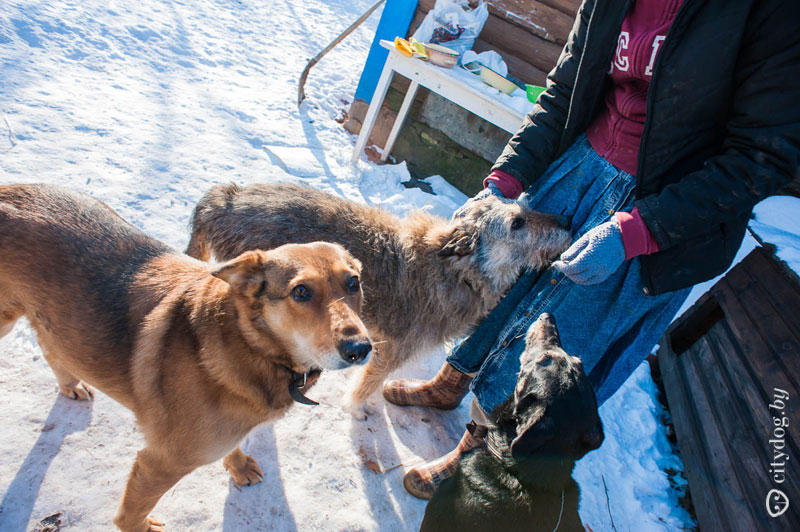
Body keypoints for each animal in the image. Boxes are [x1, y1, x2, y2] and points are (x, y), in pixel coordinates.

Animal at [0, 184, 370, 532]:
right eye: (301, 292)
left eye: (354, 282)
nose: (361, 349)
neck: (246, 342)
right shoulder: (160, 462)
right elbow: (130, 516)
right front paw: (141, 526)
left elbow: (234, 446)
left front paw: (237, 465)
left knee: (52, 349)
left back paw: (71, 385)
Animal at [184, 182, 572, 416]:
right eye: (517, 223)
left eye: (526, 208)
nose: (568, 219)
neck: (455, 271)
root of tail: (223, 198)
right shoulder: (392, 350)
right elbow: (365, 386)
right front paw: (357, 410)